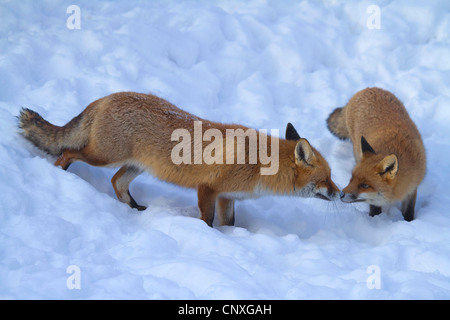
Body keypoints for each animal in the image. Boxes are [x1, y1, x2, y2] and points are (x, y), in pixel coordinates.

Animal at [19, 92, 340, 228]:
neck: (259, 165)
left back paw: (135, 209)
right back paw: (61, 175)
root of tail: (107, 97)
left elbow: (230, 223)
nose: (340, 195)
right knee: (67, 153)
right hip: (103, 156)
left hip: (133, 166)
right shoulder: (208, 189)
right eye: (326, 179)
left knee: (117, 182)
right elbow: (207, 221)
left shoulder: (228, 197)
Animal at [326, 87, 426, 222]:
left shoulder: (412, 188)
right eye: (351, 178)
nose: (341, 194)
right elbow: (374, 207)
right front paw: (374, 219)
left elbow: (409, 212)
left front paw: (409, 222)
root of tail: (367, 89)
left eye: (365, 185)